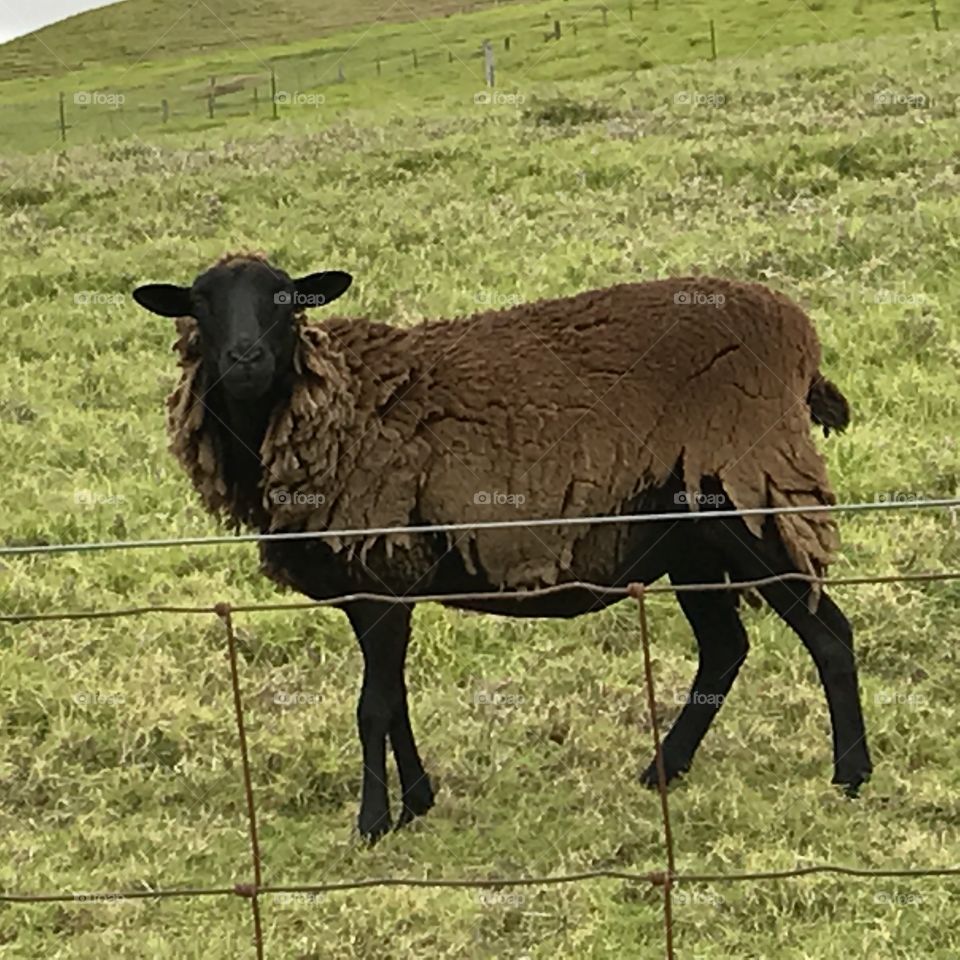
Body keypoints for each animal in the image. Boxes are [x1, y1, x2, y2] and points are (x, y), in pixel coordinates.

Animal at [133, 251, 872, 842]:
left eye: (286, 301)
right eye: (200, 303)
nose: (245, 361)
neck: (334, 407)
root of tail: (798, 336)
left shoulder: (383, 576)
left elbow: (372, 707)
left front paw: (372, 823)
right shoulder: (382, 588)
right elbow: (395, 699)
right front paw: (418, 802)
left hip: (749, 503)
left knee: (829, 635)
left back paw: (851, 776)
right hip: (686, 540)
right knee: (724, 649)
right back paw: (663, 770)